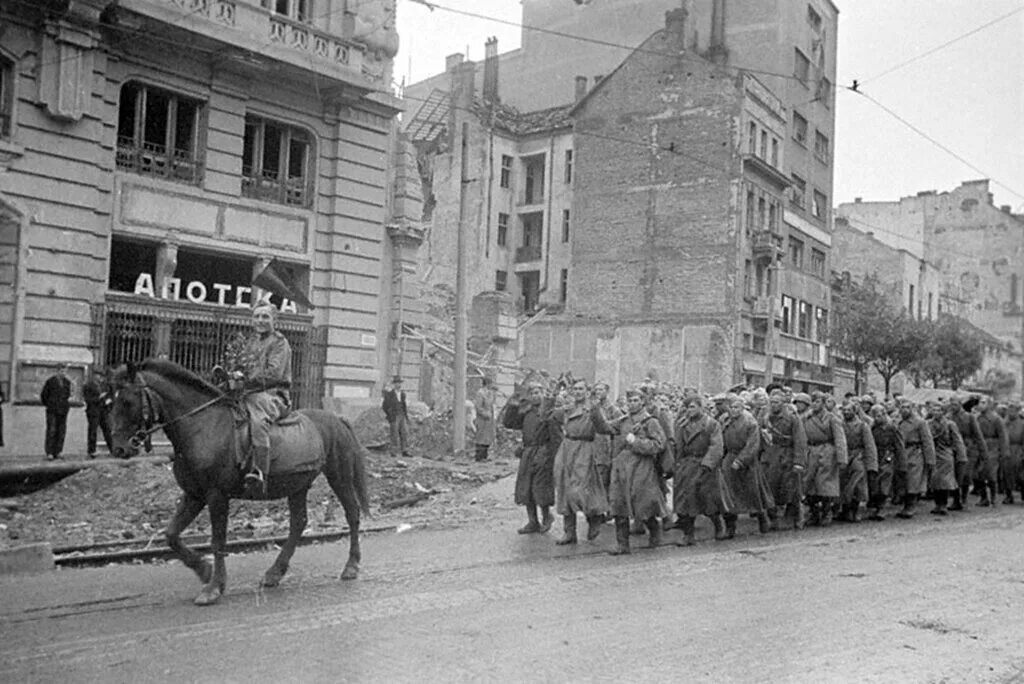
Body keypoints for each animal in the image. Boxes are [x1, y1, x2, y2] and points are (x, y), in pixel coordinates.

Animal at [108, 358, 370, 602]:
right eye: (111, 401)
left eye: (128, 401)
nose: (119, 448)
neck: (202, 426)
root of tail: (337, 419)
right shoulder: (194, 495)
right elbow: (171, 535)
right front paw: (204, 570)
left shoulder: (216, 496)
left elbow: (217, 541)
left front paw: (213, 587)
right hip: (298, 485)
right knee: (298, 523)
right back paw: (274, 573)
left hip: (339, 476)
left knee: (352, 513)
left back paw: (351, 566)